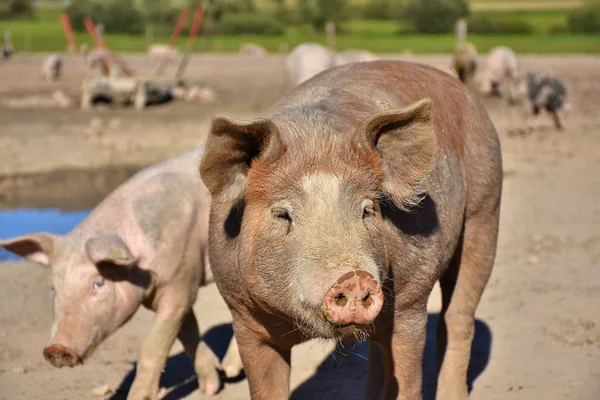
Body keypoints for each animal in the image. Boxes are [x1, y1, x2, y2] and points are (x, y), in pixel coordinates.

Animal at [2, 149, 241, 400]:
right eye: (52, 288)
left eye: (98, 283)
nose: (56, 348)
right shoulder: (174, 286)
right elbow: (189, 336)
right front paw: (210, 388)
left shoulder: (181, 279)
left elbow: (151, 349)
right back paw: (229, 371)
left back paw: (232, 371)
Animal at [200, 60, 502, 400]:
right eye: (282, 214)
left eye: (367, 210)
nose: (354, 277)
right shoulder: (243, 316)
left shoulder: (410, 305)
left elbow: (409, 381)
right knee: (379, 351)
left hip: (485, 207)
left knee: (458, 319)